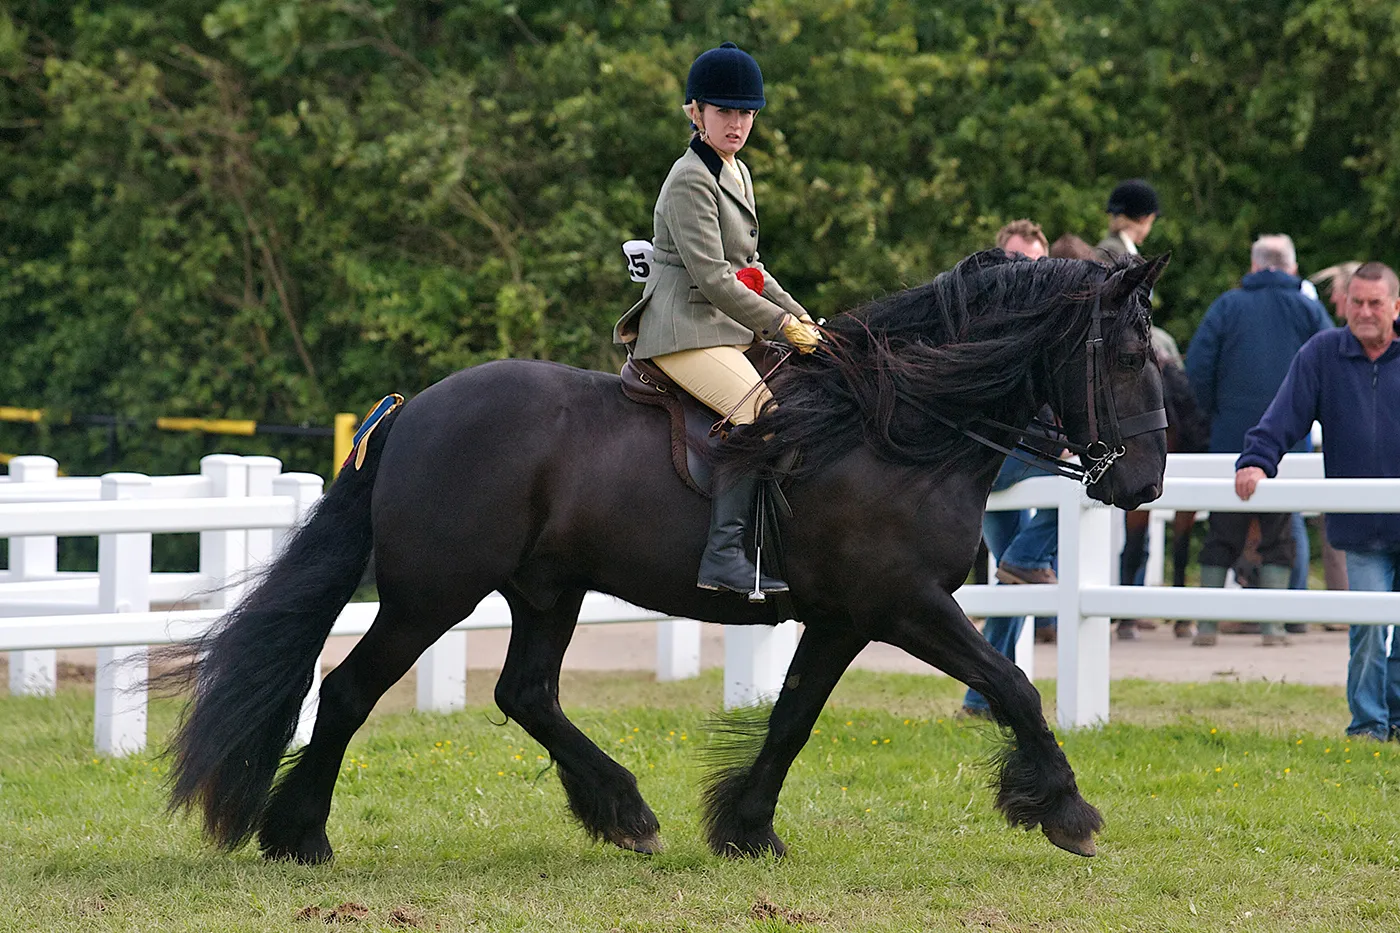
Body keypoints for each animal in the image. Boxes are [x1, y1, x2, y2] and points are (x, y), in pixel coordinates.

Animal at [164, 249, 1169, 865]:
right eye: (1126, 356)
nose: (1146, 484)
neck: (896, 429)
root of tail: (414, 411)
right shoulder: (906, 605)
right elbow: (1014, 687)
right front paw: (1067, 812)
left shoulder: (841, 619)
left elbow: (792, 718)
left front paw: (747, 829)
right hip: (431, 595)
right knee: (347, 690)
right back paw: (300, 836)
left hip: (546, 589)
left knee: (526, 693)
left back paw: (624, 813)